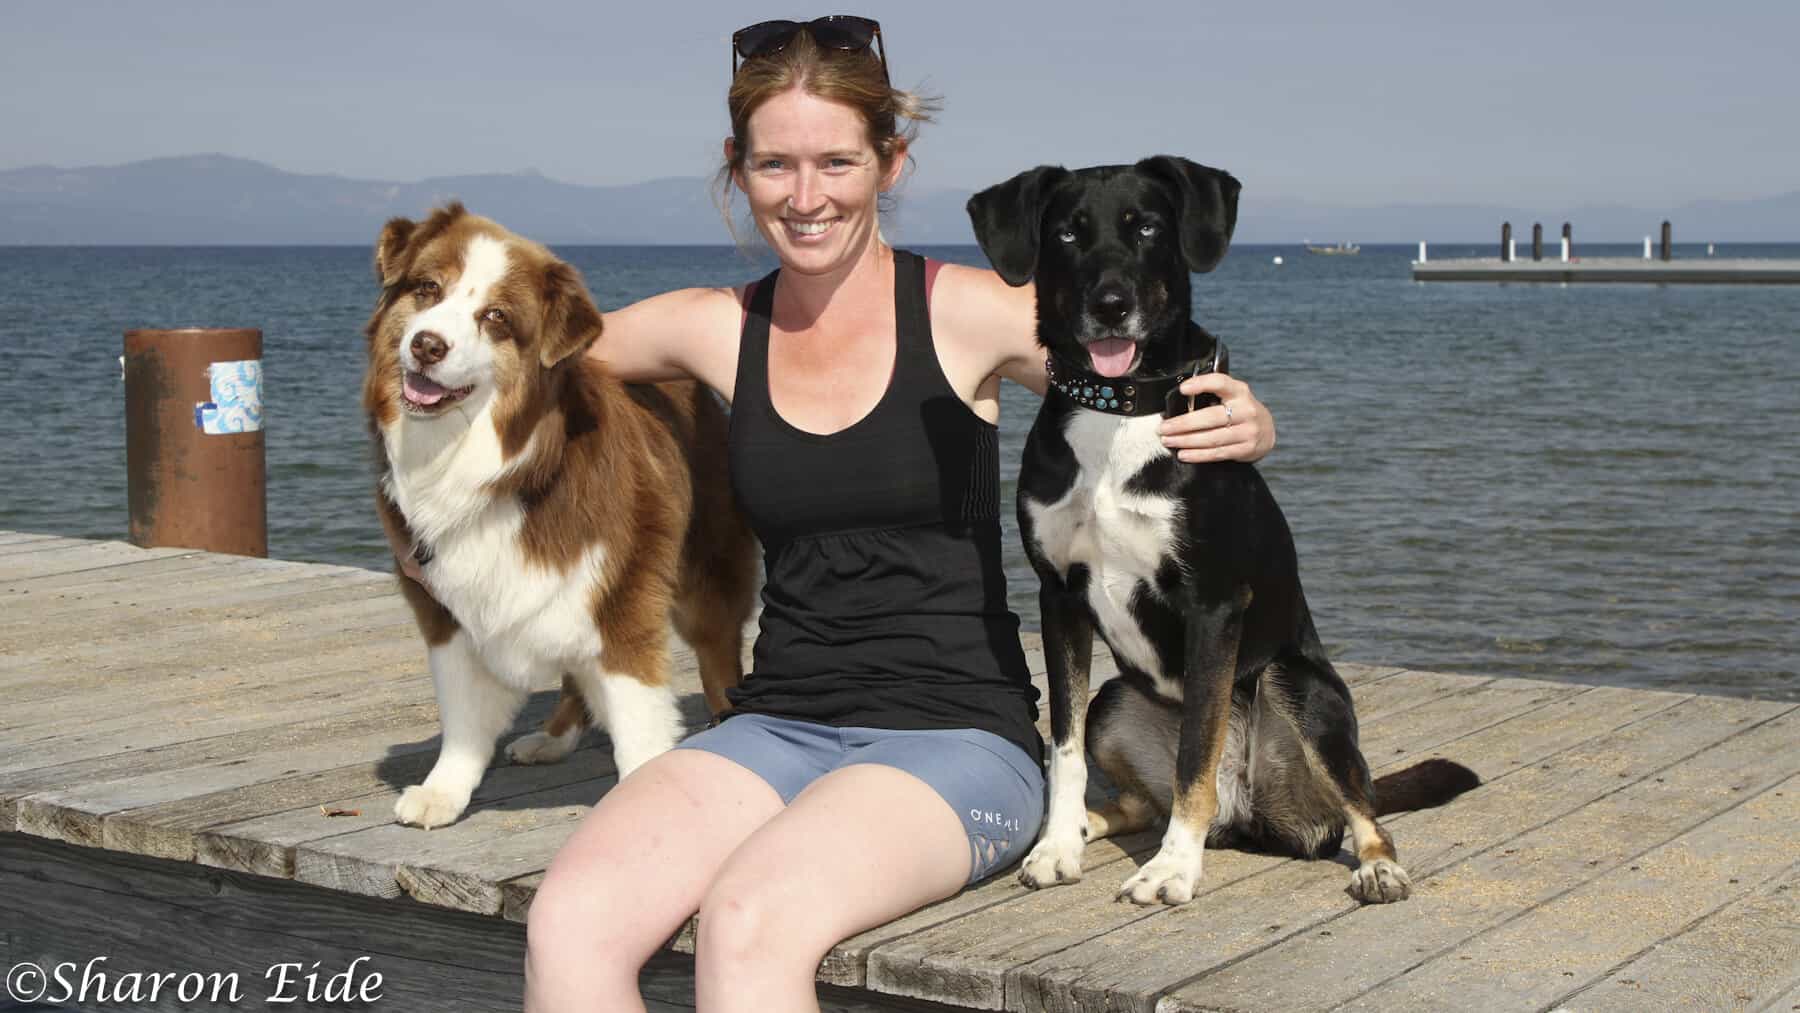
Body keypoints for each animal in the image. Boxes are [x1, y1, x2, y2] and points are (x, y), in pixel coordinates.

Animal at [361, 202, 756, 827]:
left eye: (496, 317)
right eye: (427, 289)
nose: (426, 345)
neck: (504, 470)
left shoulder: (623, 599)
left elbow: (638, 722)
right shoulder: (443, 608)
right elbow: (463, 712)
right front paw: (445, 789)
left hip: (704, 581)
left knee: (719, 665)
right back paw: (553, 738)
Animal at [972, 156, 1476, 903]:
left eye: (1146, 228)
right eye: (1066, 234)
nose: (1111, 304)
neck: (1120, 412)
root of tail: (1250, 808)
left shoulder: (1212, 604)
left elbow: (1195, 756)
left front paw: (1172, 868)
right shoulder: (1058, 595)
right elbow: (1062, 748)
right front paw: (1059, 845)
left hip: (1300, 689)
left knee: (1362, 805)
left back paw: (1377, 864)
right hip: (1116, 700)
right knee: (1138, 797)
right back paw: (1092, 825)